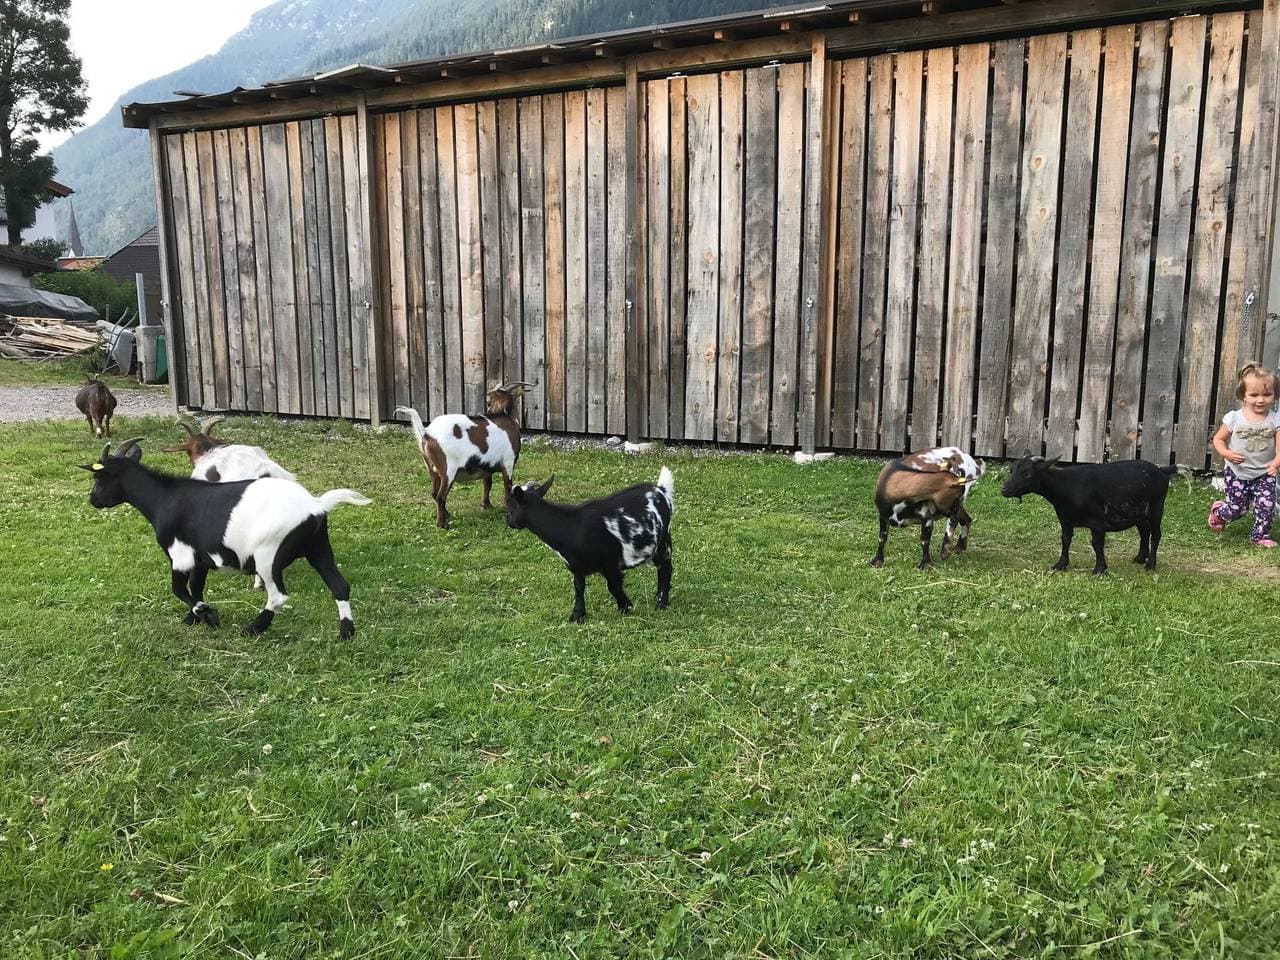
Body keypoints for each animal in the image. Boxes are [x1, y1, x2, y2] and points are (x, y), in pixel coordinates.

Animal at [82, 439, 369, 638]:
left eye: (99, 477)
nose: (93, 500)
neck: (164, 499)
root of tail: (316, 505)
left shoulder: (180, 556)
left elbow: (179, 589)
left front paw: (208, 615)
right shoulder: (200, 560)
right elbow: (196, 587)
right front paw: (193, 618)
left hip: (268, 555)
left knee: (278, 596)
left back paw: (253, 628)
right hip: (319, 547)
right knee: (339, 586)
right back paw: (346, 633)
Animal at [395, 380, 536, 528]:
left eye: (490, 401)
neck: (506, 418)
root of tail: (426, 433)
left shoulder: (486, 466)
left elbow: (487, 483)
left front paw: (487, 505)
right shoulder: (508, 463)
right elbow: (507, 487)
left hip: (432, 470)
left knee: (434, 493)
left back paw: (447, 515)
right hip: (448, 470)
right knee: (440, 496)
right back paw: (442, 524)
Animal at [506, 467, 674, 623]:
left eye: (510, 506)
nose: (509, 522)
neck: (570, 527)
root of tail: (660, 489)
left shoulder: (610, 564)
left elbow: (613, 586)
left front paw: (625, 607)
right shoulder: (576, 566)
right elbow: (578, 588)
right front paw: (577, 616)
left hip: (663, 542)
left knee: (665, 568)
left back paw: (661, 603)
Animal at [1000, 456, 1179, 574]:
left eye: (1027, 474)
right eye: (1011, 470)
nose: (1004, 489)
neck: (1065, 487)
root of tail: (1162, 471)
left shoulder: (1097, 522)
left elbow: (1096, 544)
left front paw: (1099, 569)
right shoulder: (1065, 520)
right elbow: (1065, 540)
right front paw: (1060, 565)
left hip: (1157, 507)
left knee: (1156, 534)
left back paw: (1150, 565)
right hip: (1138, 511)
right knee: (1144, 531)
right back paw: (1140, 558)